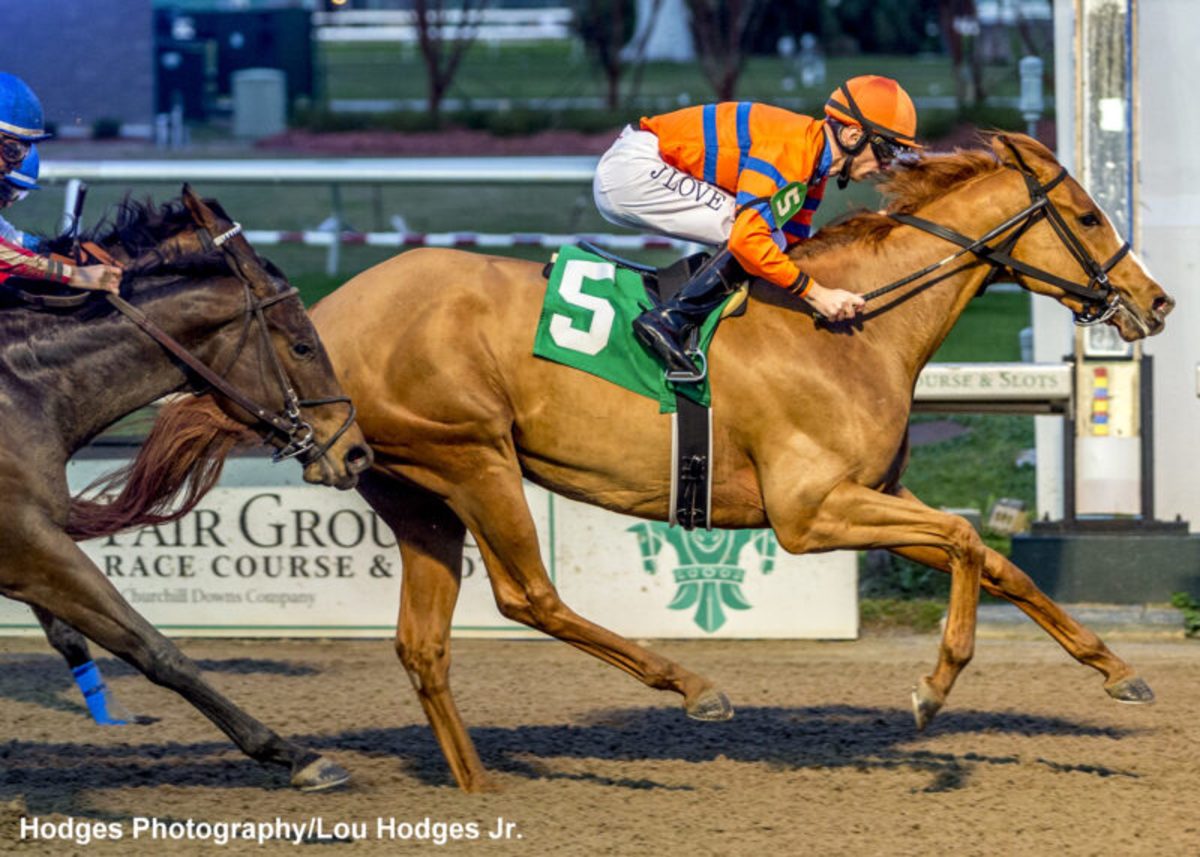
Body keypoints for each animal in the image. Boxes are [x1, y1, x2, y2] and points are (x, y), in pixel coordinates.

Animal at [3, 187, 369, 787]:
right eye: (302, 346)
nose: (355, 452)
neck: (22, 387)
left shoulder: (27, 547)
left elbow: (77, 637)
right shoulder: (30, 545)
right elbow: (152, 647)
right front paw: (294, 753)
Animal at [302, 133, 1171, 787]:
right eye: (1088, 215)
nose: (1156, 301)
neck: (855, 326)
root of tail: (323, 315)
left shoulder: (873, 495)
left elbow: (996, 561)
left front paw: (1116, 668)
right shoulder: (809, 512)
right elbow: (964, 539)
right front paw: (934, 685)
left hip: (415, 493)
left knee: (424, 643)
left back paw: (480, 785)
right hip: (474, 456)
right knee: (529, 596)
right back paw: (694, 687)